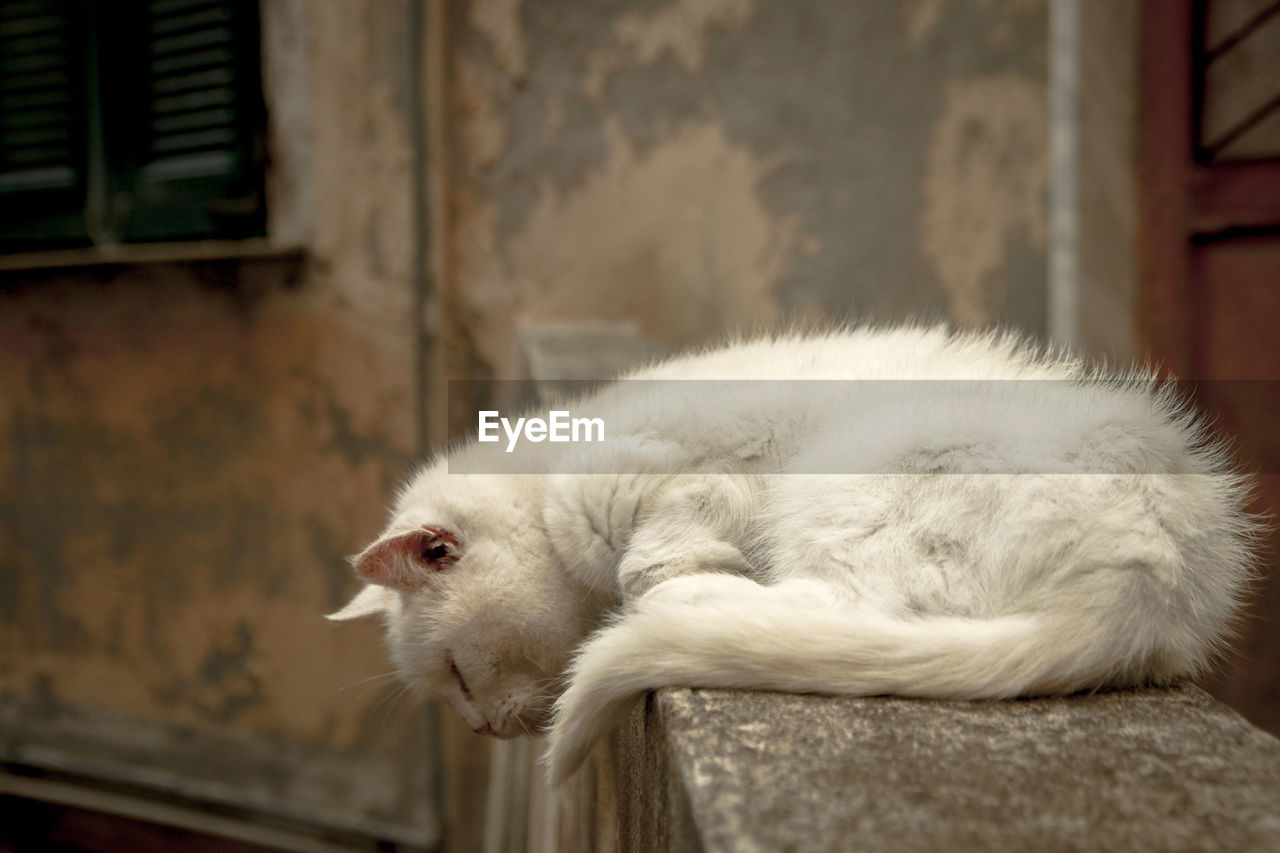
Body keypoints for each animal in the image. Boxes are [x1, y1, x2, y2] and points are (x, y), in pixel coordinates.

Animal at [325, 325, 1254, 783]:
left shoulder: (680, 482)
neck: (548, 470)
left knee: (838, 609)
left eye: (456, 672)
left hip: (864, 473)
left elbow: (648, 553)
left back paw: (672, 607)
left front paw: (661, 576)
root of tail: (1163, 576)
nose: (480, 727)